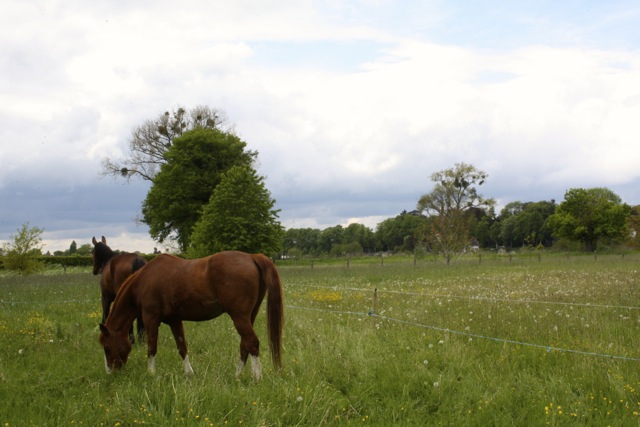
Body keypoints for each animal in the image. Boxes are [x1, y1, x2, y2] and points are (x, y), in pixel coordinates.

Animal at [97, 251, 282, 382]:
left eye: (106, 348)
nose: (110, 372)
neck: (144, 280)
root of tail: (252, 257)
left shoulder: (151, 319)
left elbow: (151, 348)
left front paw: (151, 373)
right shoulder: (174, 321)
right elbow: (182, 347)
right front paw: (189, 374)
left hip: (239, 317)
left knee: (252, 342)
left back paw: (256, 377)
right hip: (248, 316)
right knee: (245, 344)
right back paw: (238, 375)